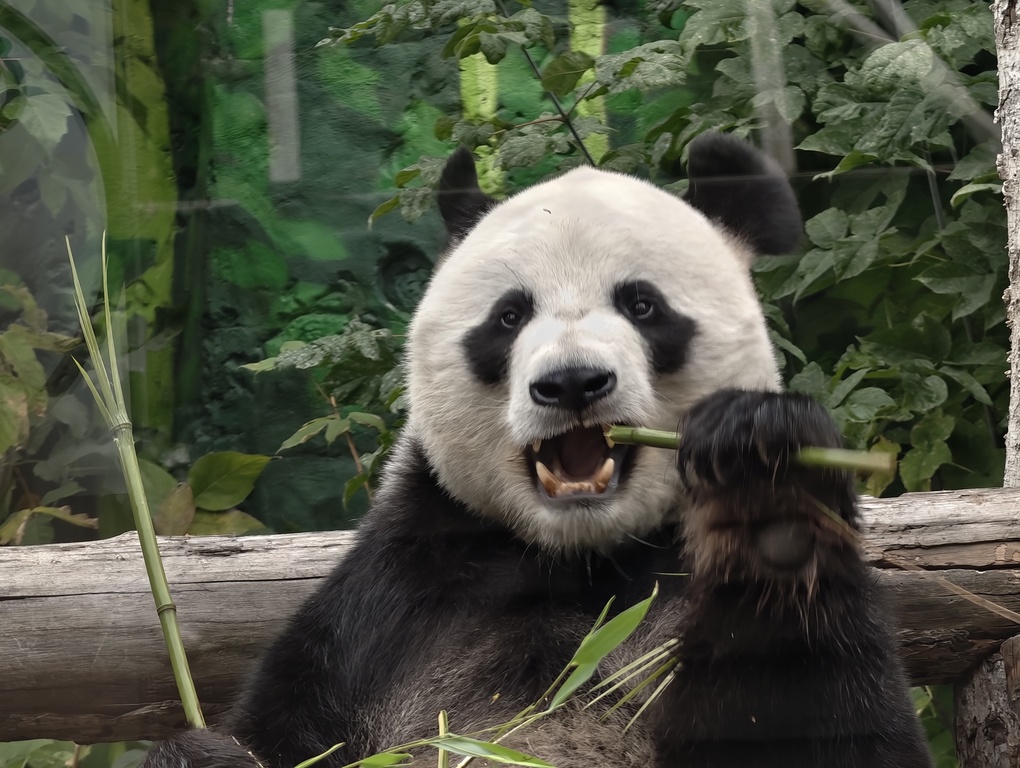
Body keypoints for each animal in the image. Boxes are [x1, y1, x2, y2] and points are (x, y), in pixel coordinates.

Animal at [144, 133, 933, 768]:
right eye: (509, 315)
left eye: (642, 304)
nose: (573, 382)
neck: (581, 556)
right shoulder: (397, 606)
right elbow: (286, 727)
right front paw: (201, 753)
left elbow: (834, 719)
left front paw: (757, 458)